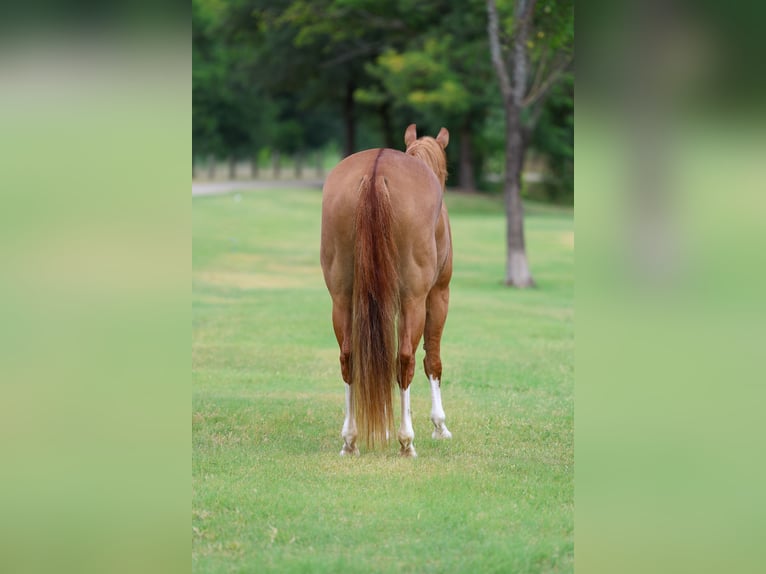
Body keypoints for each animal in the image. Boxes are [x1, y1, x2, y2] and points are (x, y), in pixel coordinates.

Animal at [320, 124, 453, 457]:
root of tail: (375, 171)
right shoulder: (438, 295)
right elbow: (432, 360)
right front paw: (439, 425)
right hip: (414, 300)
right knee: (404, 359)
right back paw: (407, 440)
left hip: (343, 298)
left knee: (350, 357)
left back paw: (350, 439)